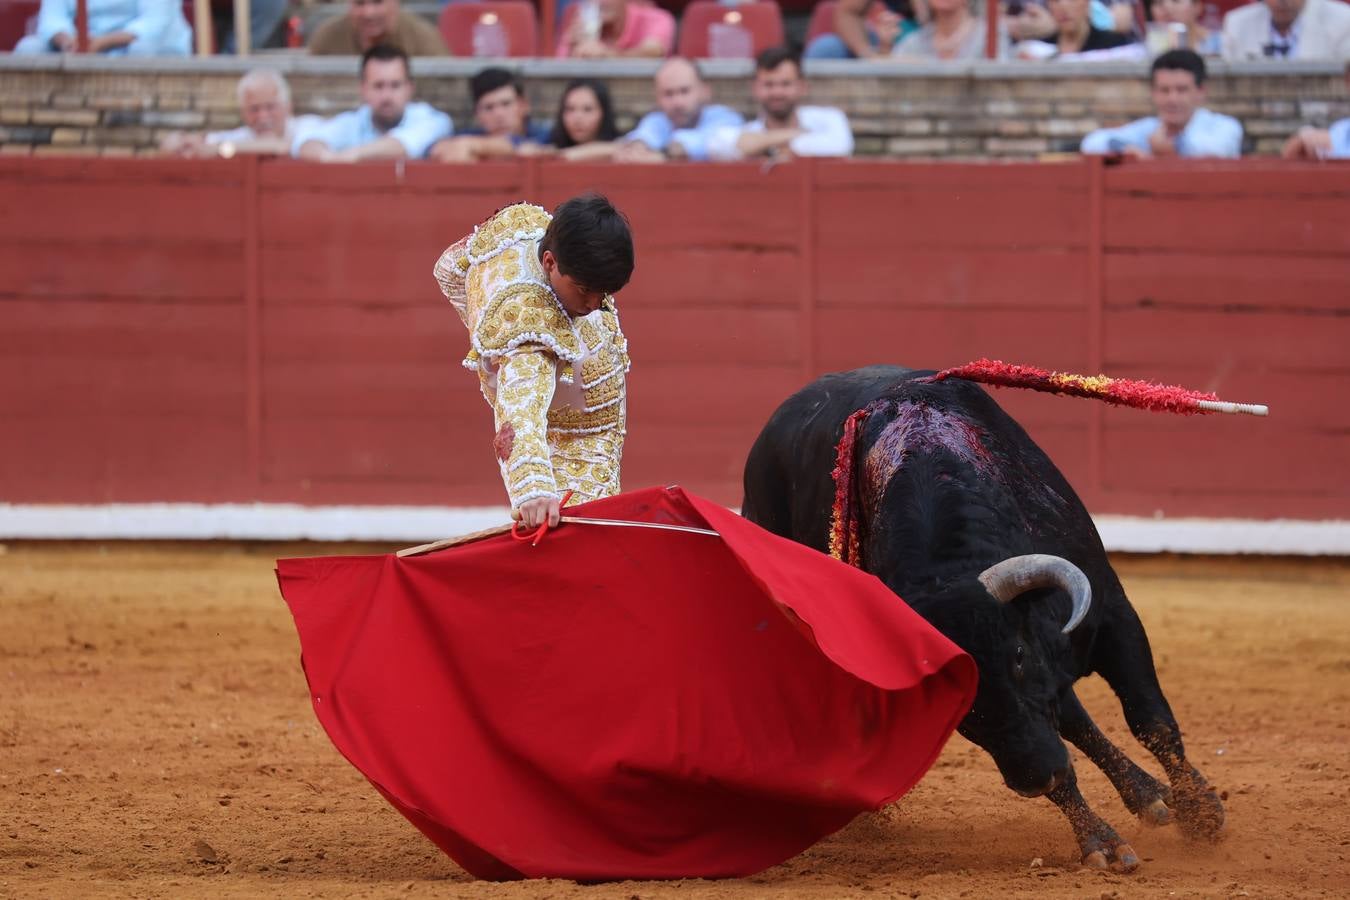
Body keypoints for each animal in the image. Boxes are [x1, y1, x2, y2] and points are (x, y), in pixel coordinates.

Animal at [745, 367, 1231, 874]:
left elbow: (1150, 719)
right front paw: (1102, 841)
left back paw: (1159, 797)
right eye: (949, 698)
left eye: (1015, 655)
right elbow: (1062, 747)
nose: (1034, 778)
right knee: (1068, 724)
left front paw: (1200, 813)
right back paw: (1146, 795)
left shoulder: (1113, 616)